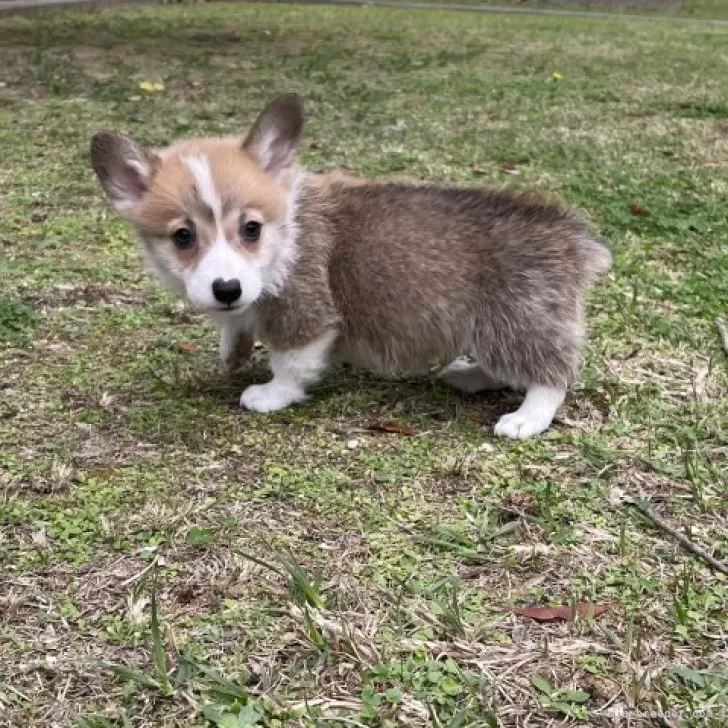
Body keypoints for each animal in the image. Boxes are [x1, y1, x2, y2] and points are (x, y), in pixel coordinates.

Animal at [91, 91, 608, 438]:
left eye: (251, 228)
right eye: (183, 236)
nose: (227, 288)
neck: (285, 232)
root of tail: (572, 237)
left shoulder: (307, 313)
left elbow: (291, 363)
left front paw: (270, 394)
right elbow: (237, 325)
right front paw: (231, 349)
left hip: (519, 319)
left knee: (550, 374)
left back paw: (525, 418)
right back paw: (469, 376)